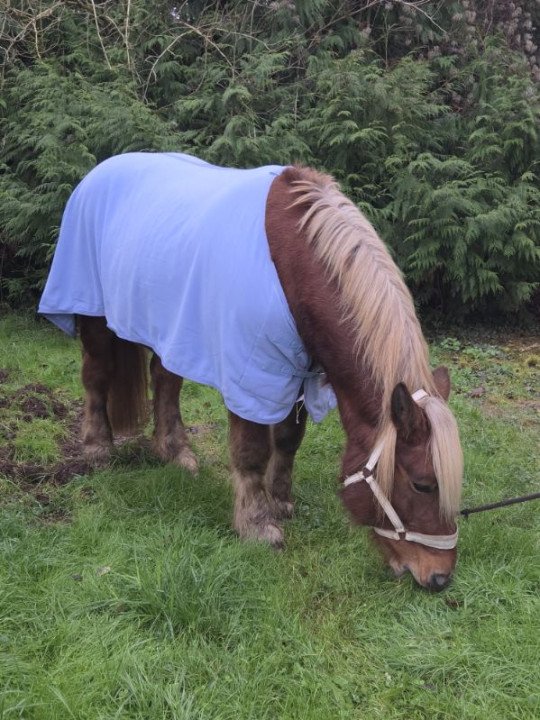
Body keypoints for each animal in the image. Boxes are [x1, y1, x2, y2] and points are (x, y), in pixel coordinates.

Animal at [38, 152, 463, 591]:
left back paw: (176, 453)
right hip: (94, 314)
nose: (439, 577)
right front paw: (257, 525)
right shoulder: (252, 374)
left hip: (170, 330)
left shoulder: (298, 371)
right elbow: (251, 450)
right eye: (422, 484)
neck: (296, 259)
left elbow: (289, 438)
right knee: (96, 377)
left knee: (165, 379)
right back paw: (98, 449)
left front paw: (279, 500)